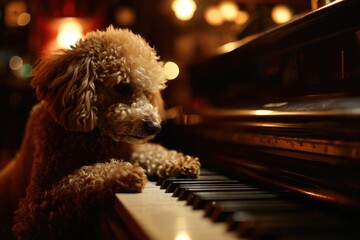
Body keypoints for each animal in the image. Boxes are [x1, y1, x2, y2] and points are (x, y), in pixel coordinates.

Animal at [0, 26, 200, 240]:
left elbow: (150, 152)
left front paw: (180, 161)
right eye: (122, 86)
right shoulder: (34, 210)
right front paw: (124, 173)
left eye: (148, 92)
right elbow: (79, 179)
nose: (154, 126)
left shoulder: (127, 148)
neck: (93, 137)